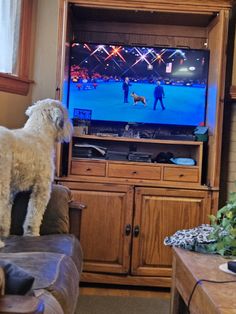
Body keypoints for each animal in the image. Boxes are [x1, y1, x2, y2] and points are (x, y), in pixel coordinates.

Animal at [0, 98, 73, 248]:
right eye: (66, 114)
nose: (71, 128)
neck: (39, 134)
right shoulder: (42, 188)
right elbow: (34, 214)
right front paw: (32, 234)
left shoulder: (11, 190)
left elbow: (5, 217)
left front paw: (4, 233)